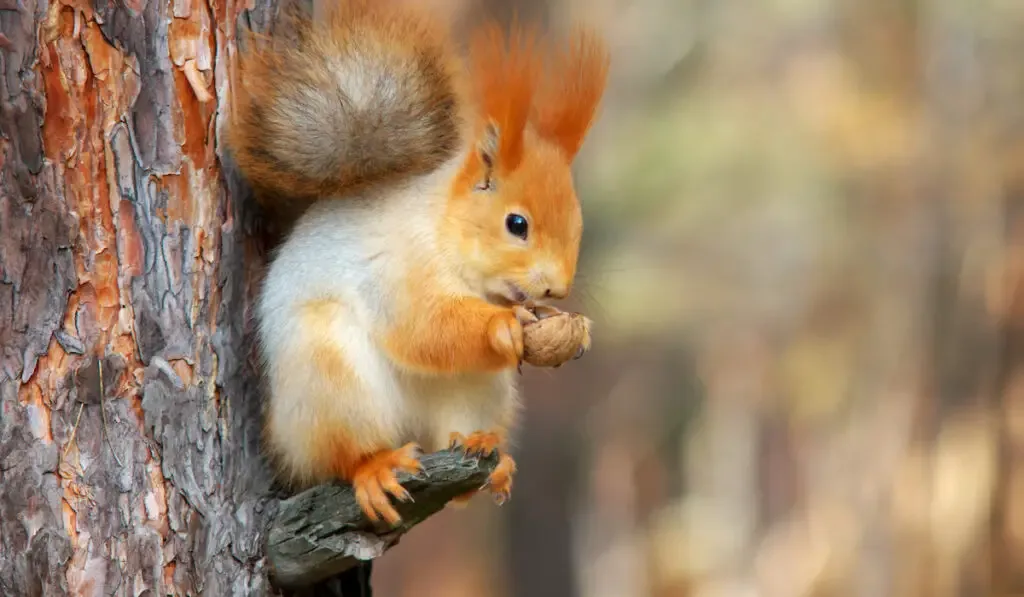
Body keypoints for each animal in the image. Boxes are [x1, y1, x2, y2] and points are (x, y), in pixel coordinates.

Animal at [225, 0, 606, 524]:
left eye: (578, 222)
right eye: (517, 224)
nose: (557, 289)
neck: (444, 228)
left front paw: (577, 328)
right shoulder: (399, 268)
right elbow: (422, 325)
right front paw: (503, 326)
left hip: (479, 390)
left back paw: (487, 453)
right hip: (329, 376)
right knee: (342, 453)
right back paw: (376, 468)